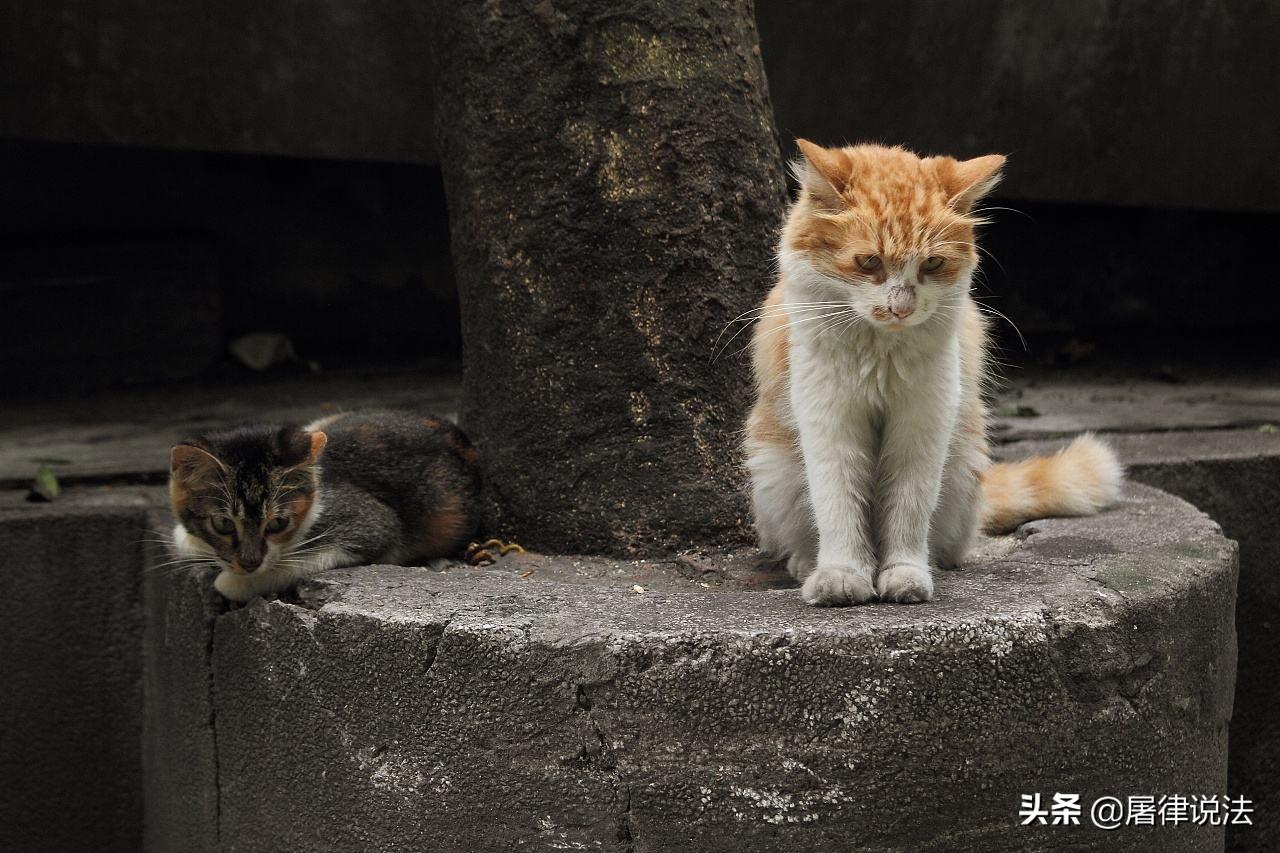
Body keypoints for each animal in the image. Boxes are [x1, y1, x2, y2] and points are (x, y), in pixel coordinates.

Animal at [170, 409, 481, 596]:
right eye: (223, 524)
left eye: (277, 523)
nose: (249, 563)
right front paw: (189, 540)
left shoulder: (373, 524)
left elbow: (299, 559)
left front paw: (233, 583)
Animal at [747, 139, 1126, 604]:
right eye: (869, 262)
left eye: (930, 265)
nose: (900, 307)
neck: (881, 355)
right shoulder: (830, 425)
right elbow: (838, 506)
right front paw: (842, 575)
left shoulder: (923, 427)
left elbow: (908, 510)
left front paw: (905, 575)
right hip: (775, 472)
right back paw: (806, 564)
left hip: (961, 464)